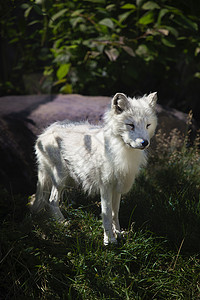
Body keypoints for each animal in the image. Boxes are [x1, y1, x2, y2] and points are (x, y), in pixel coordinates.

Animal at [30, 92, 157, 245]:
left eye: (147, 125)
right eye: (130, 125)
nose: (145, 143)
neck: (119, 150)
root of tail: (45, 132)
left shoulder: (117, 187)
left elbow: (115, 213)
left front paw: (118, 233)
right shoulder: (106, 186)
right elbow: (106, 214)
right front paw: (109, 240)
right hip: (60, 179)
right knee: (51, 201)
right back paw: (63, 223)